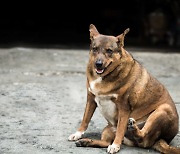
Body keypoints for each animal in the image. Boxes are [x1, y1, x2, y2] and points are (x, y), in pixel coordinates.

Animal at [68, 23, 179, 153]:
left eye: (109, 51)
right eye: (94, 49)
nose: (98, 64)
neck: (105, 76)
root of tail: (163, 140)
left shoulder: (124, 107)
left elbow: (120, 129)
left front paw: (115, 145)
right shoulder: (91, 99)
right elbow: (85, 119)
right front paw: (78, 134)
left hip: (163, 110)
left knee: (143, 137)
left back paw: (132, 128)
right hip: (109, 128)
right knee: (106, 142)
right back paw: (86, 141)